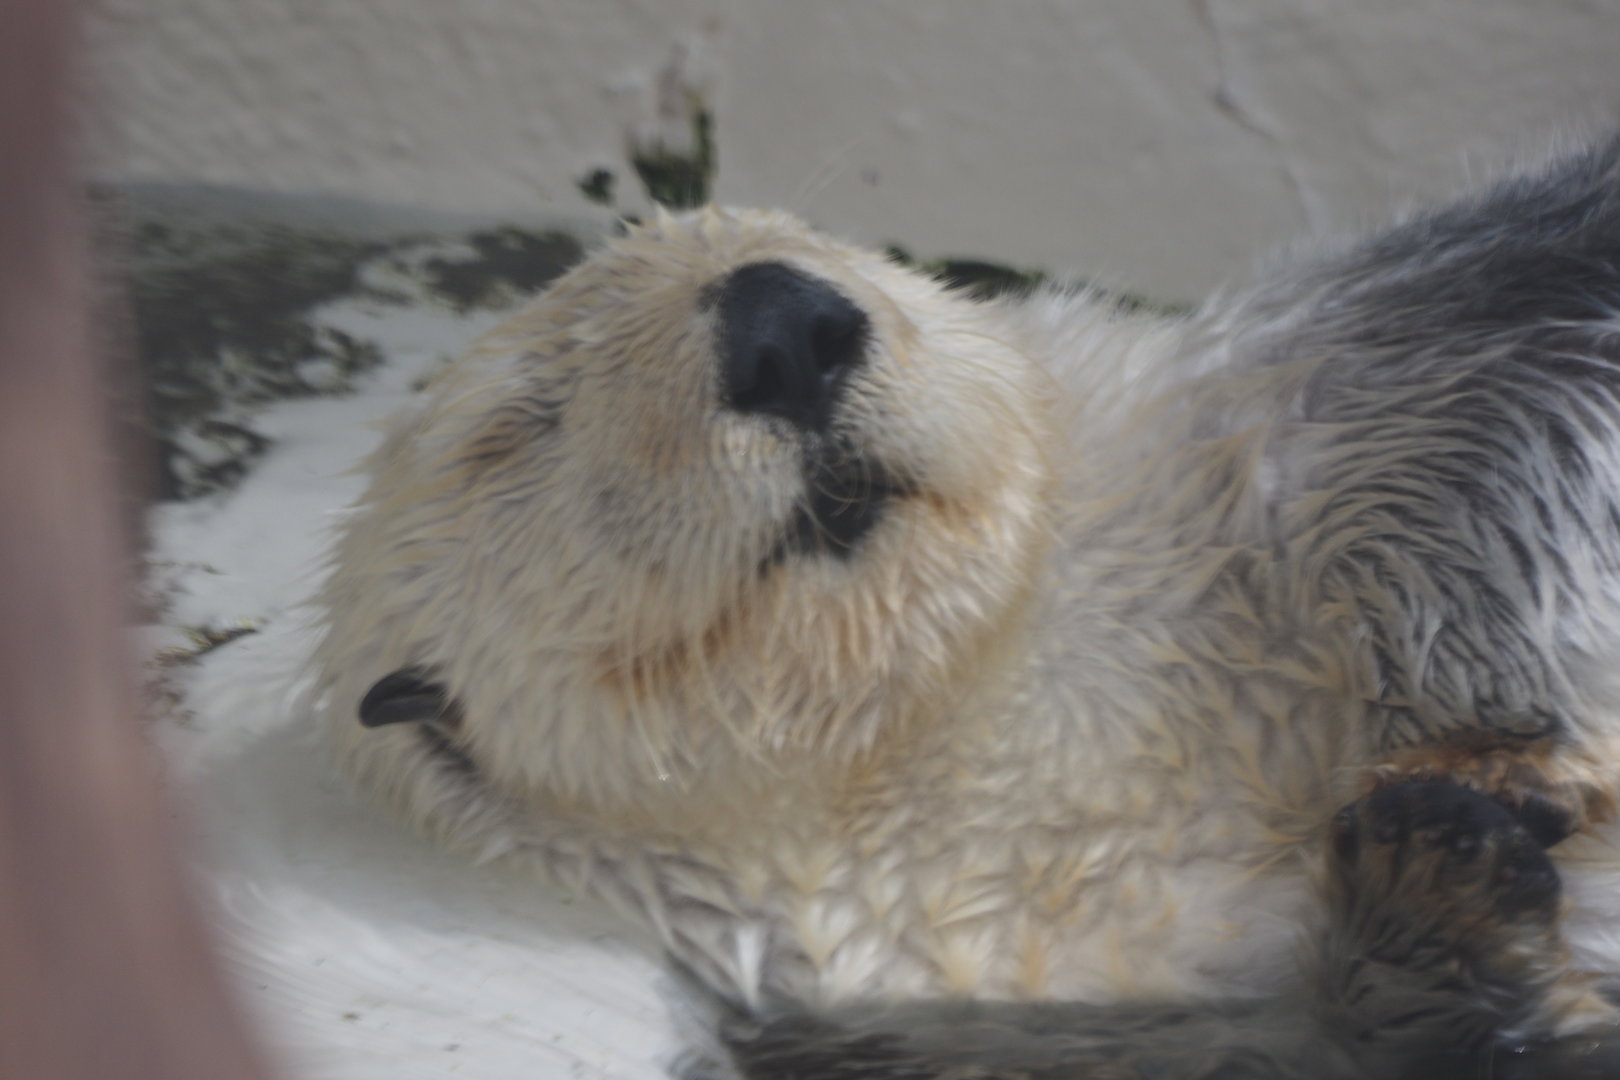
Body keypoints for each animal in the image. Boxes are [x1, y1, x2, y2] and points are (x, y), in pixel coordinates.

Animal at [315, 136, 1620, 1076]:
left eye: (809, 243)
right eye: (519, 424)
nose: (781, 321)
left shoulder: (1374, 356)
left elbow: (1490, 416)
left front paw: (1476, 750)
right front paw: (1439, 869)